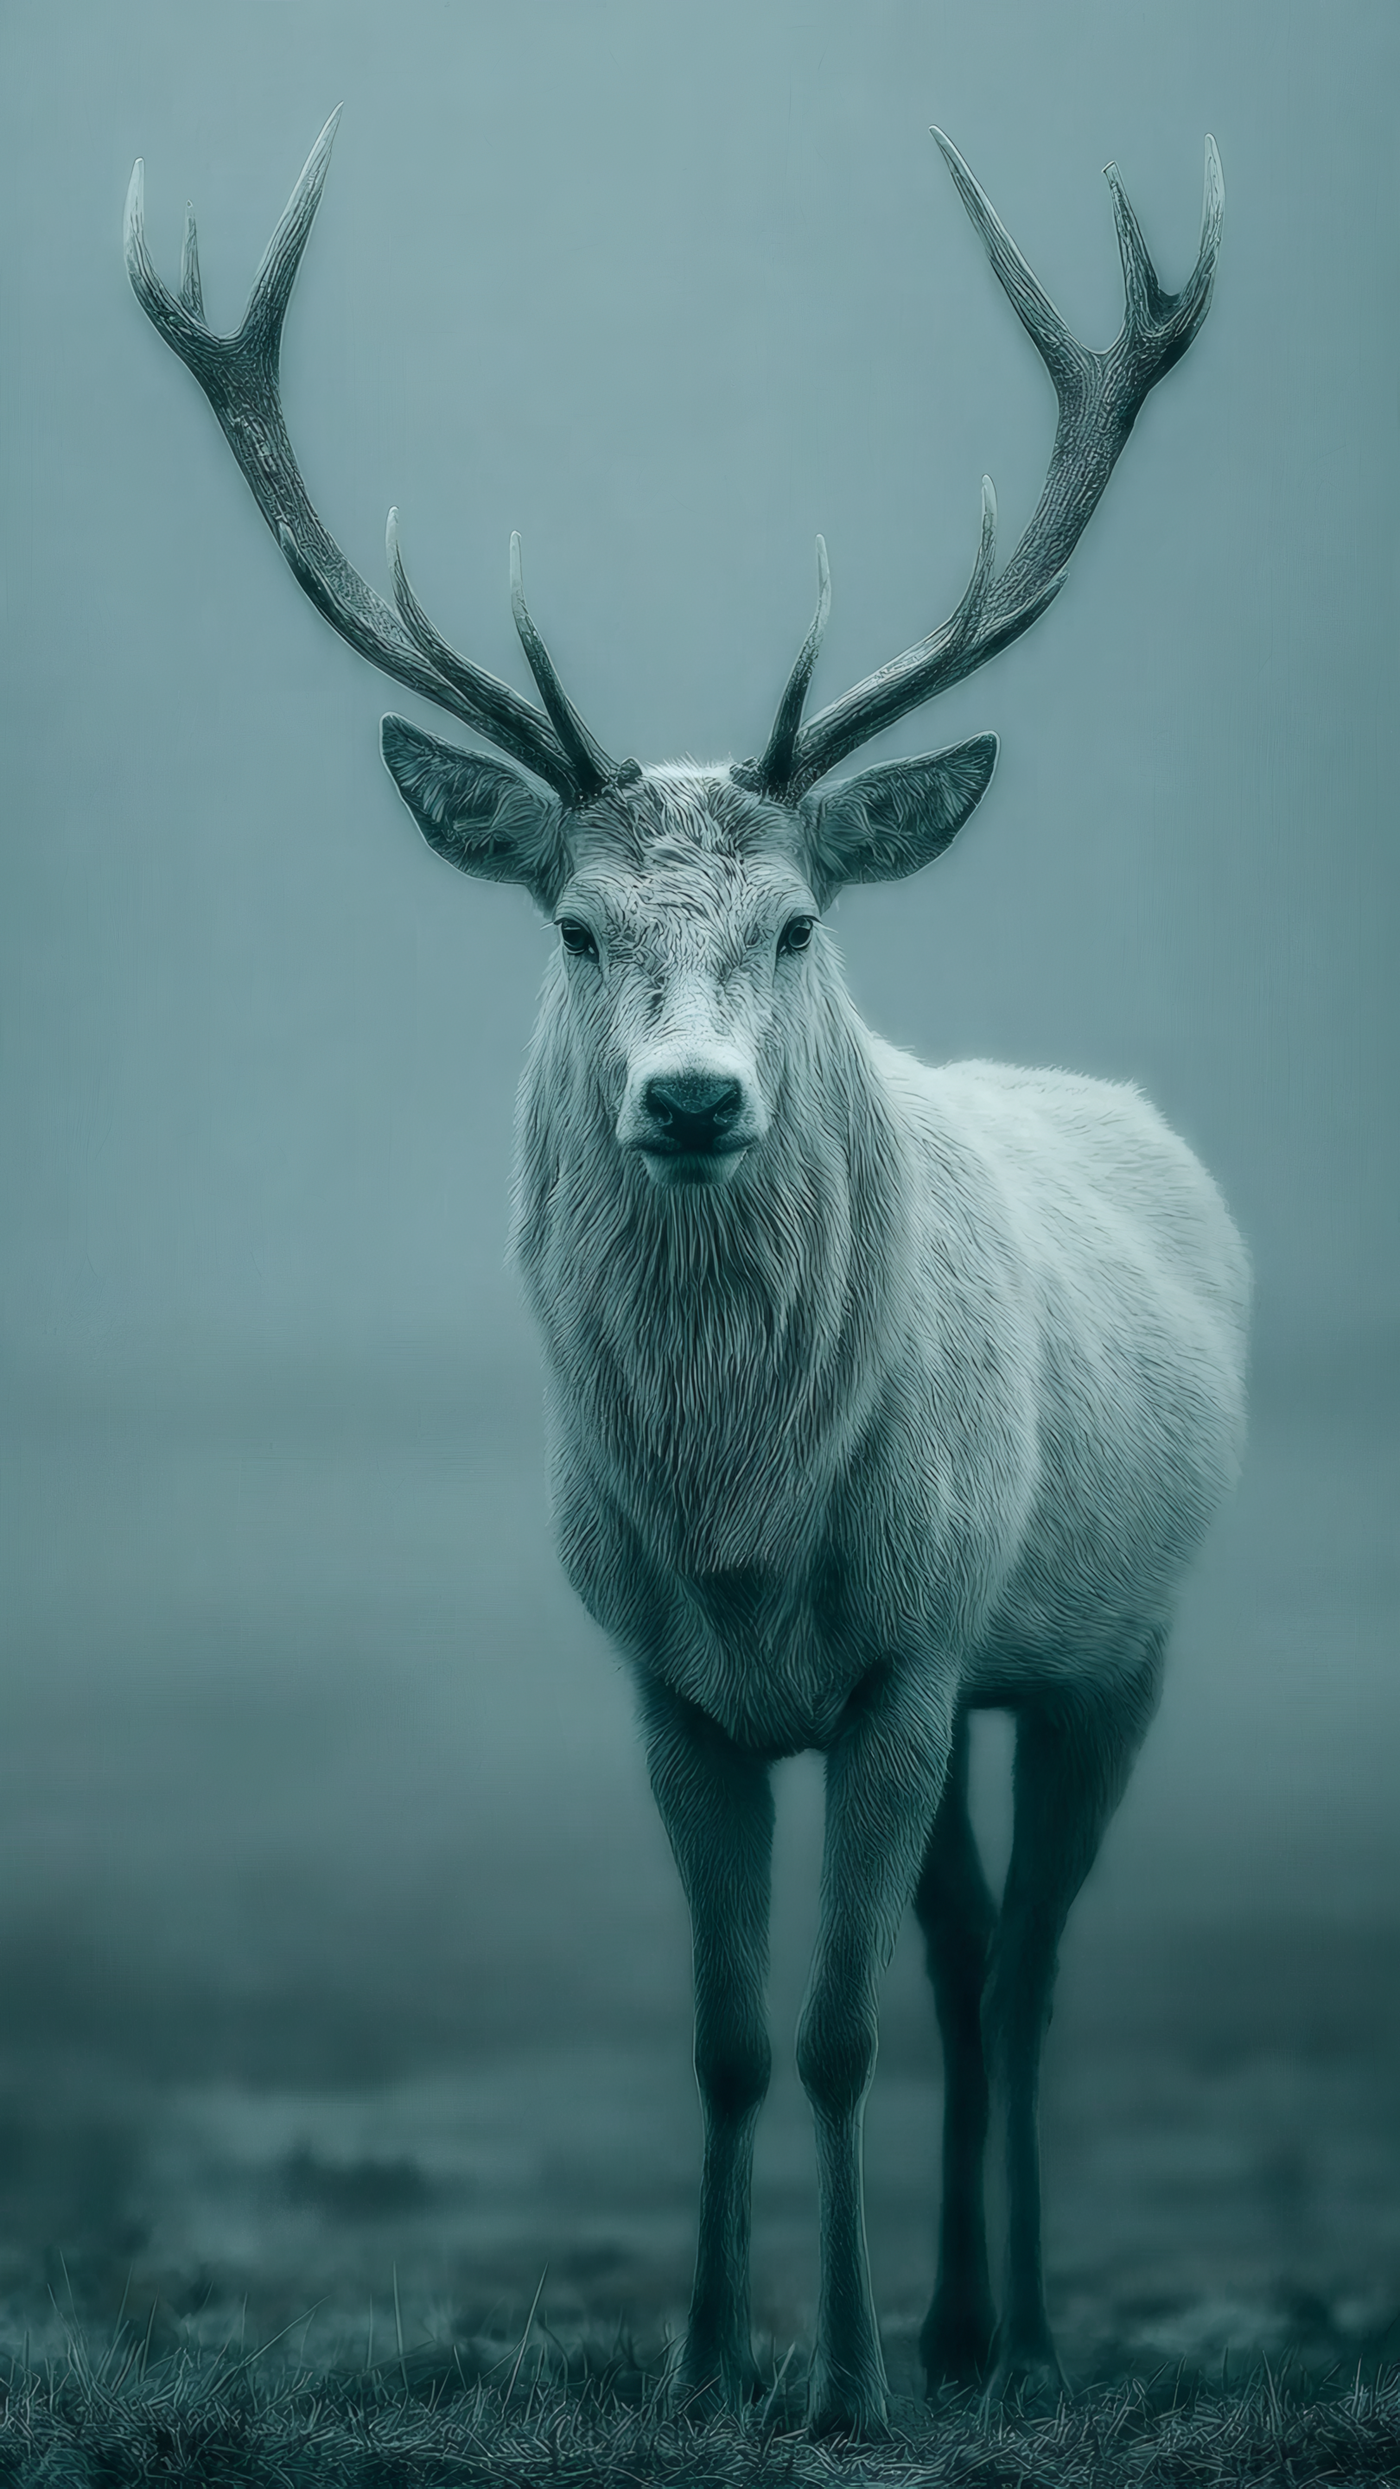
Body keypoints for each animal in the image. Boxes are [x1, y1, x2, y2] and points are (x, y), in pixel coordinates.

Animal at [125, 113, 1247, 2435]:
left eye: (803, 918)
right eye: (570, 922)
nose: (699, 1097)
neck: (740, 1522)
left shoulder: (904, 1656)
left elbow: (837, 2026)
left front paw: (843, 2380)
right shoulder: (667, 1683)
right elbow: (733, 2037)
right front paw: (712, 2352)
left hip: (1101, 1639)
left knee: (1022, 1965)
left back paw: (1017, 2328)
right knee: (971, 1944)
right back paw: (967, 2318)